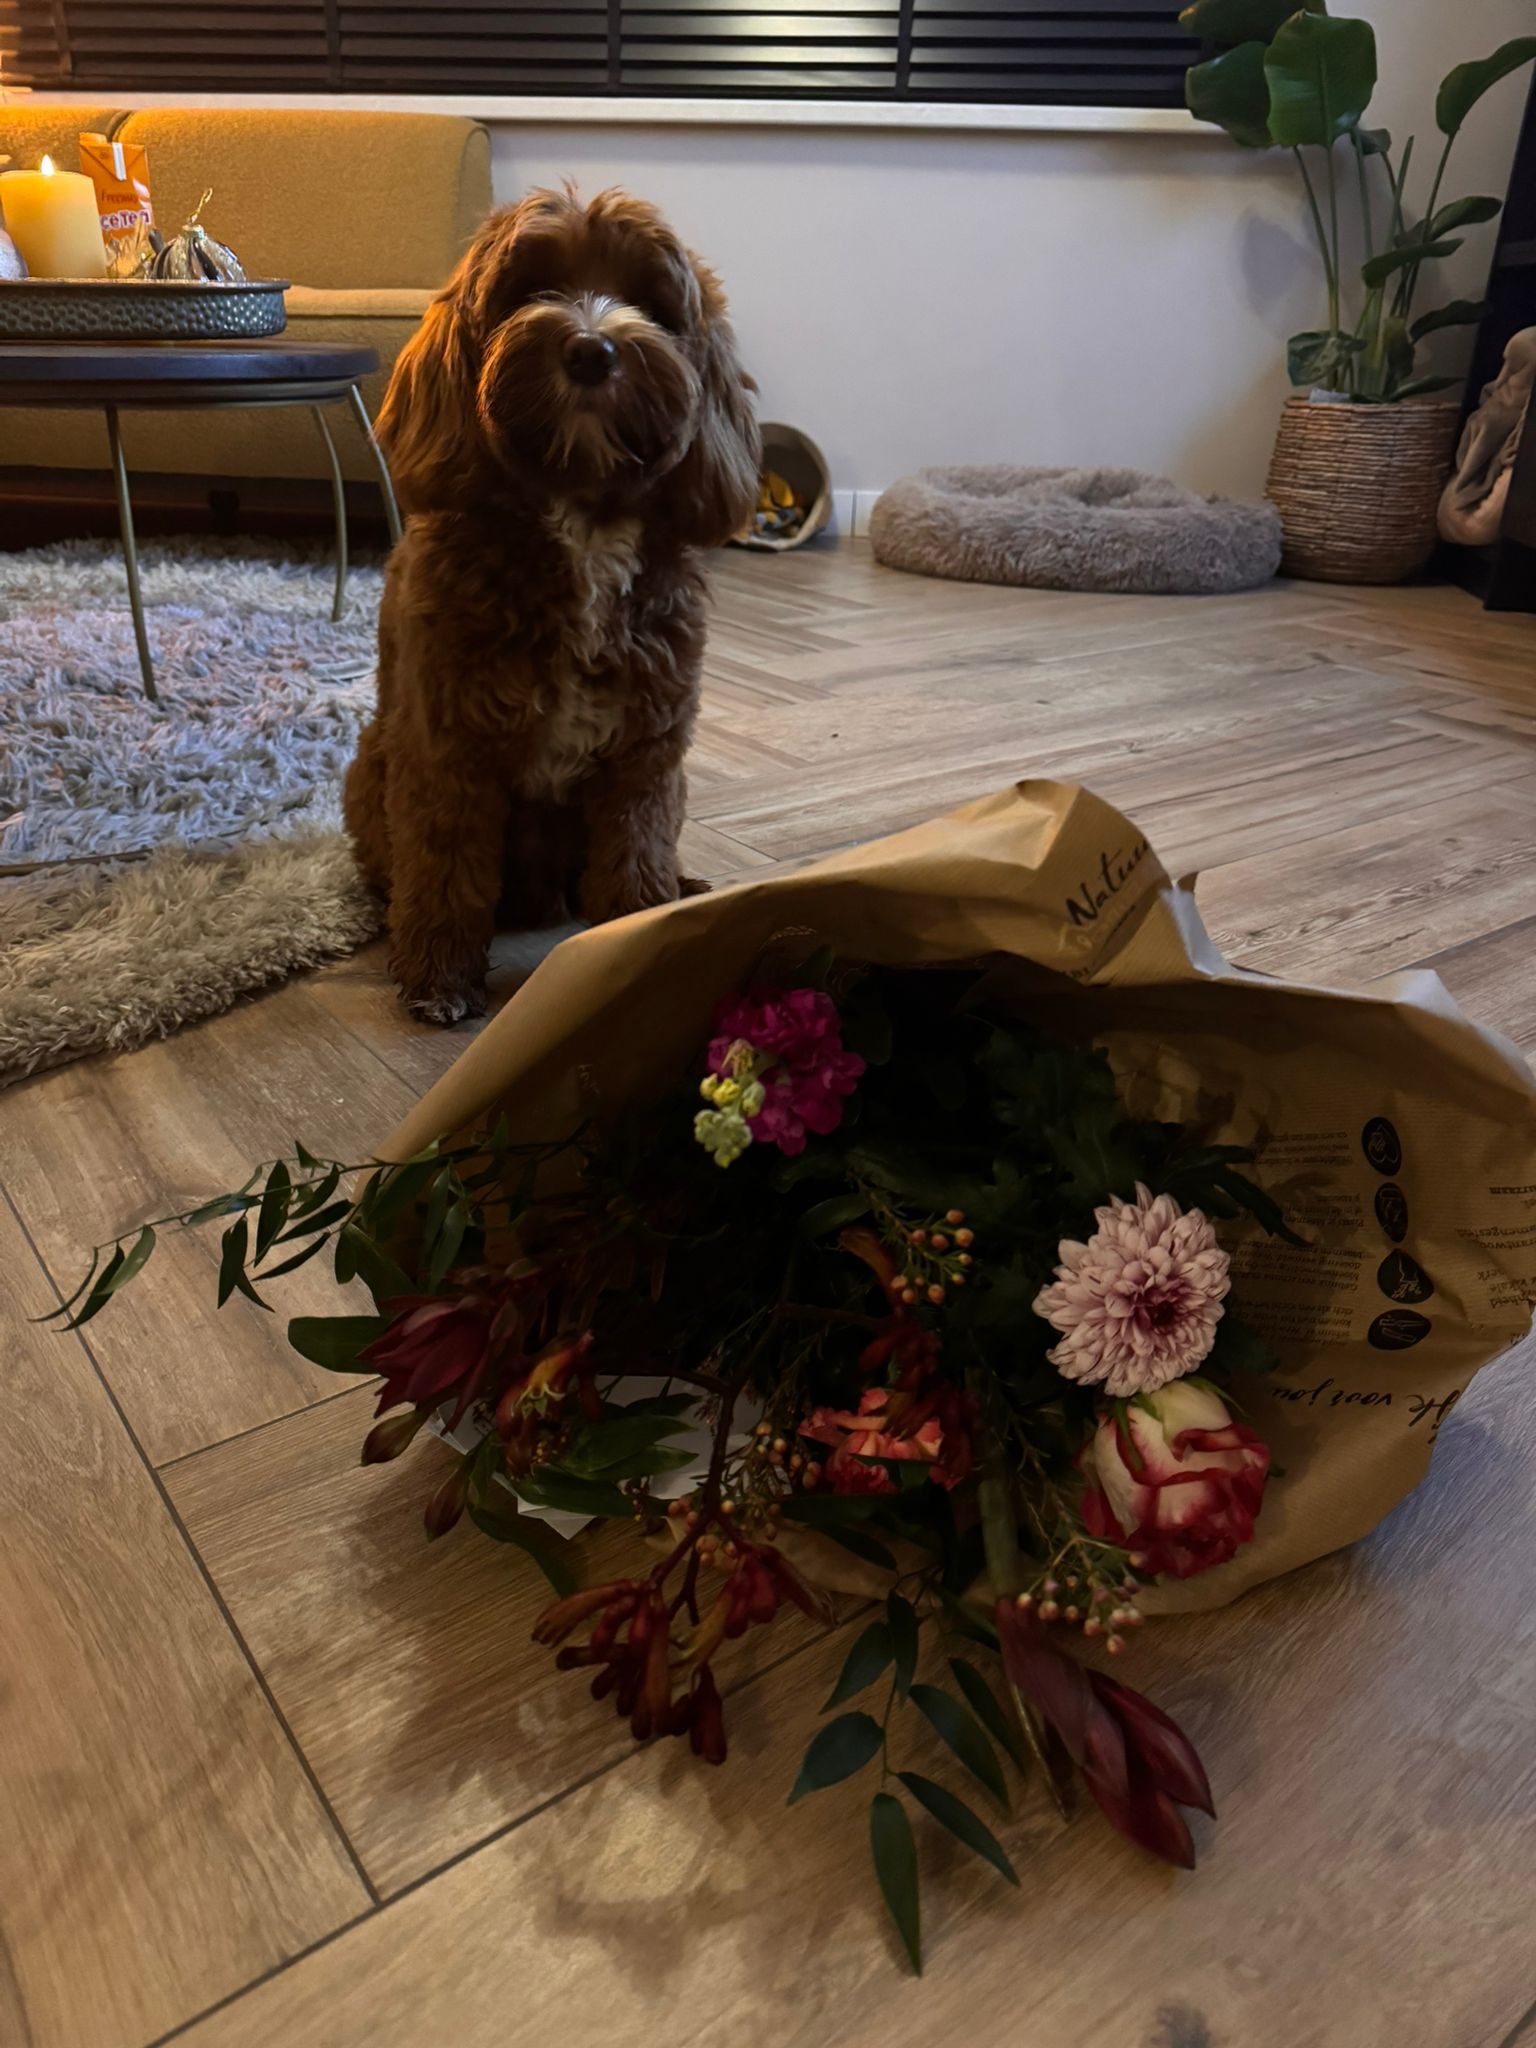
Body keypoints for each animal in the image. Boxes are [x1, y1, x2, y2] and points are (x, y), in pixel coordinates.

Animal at [344, 186, 760, 1025]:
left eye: (650, 302)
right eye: (529, 288)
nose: (593, 351)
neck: (579, 516)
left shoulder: (646, 751)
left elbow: (634, 857)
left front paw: (640, 946)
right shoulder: (449, 747)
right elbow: (443, 866)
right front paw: (438, 978)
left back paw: (682, 885)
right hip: (371, 765)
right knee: (395, 863)